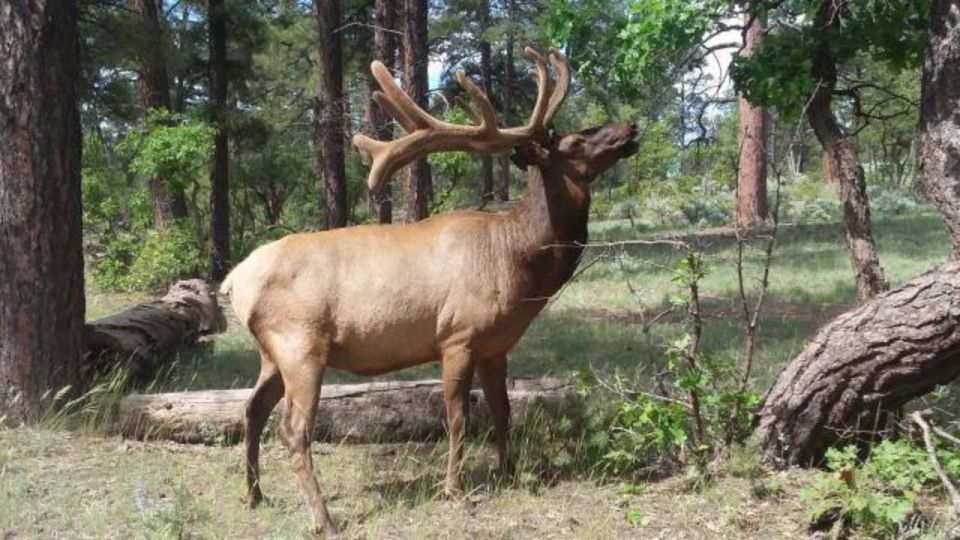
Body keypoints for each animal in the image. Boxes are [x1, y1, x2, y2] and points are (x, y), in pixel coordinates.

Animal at [219, 47, 636, 536]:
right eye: (573, 143)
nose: (631, 128)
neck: (516, 263)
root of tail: (234, 280)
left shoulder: (497, 345)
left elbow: (503, 410)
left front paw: (510, 473)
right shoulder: (457, 335)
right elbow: (458, 417)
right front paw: (454, 489)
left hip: (271, 353)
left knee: (251, 409)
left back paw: (253, 494)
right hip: (299, 344)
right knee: (293, 428)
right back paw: (324, 519)